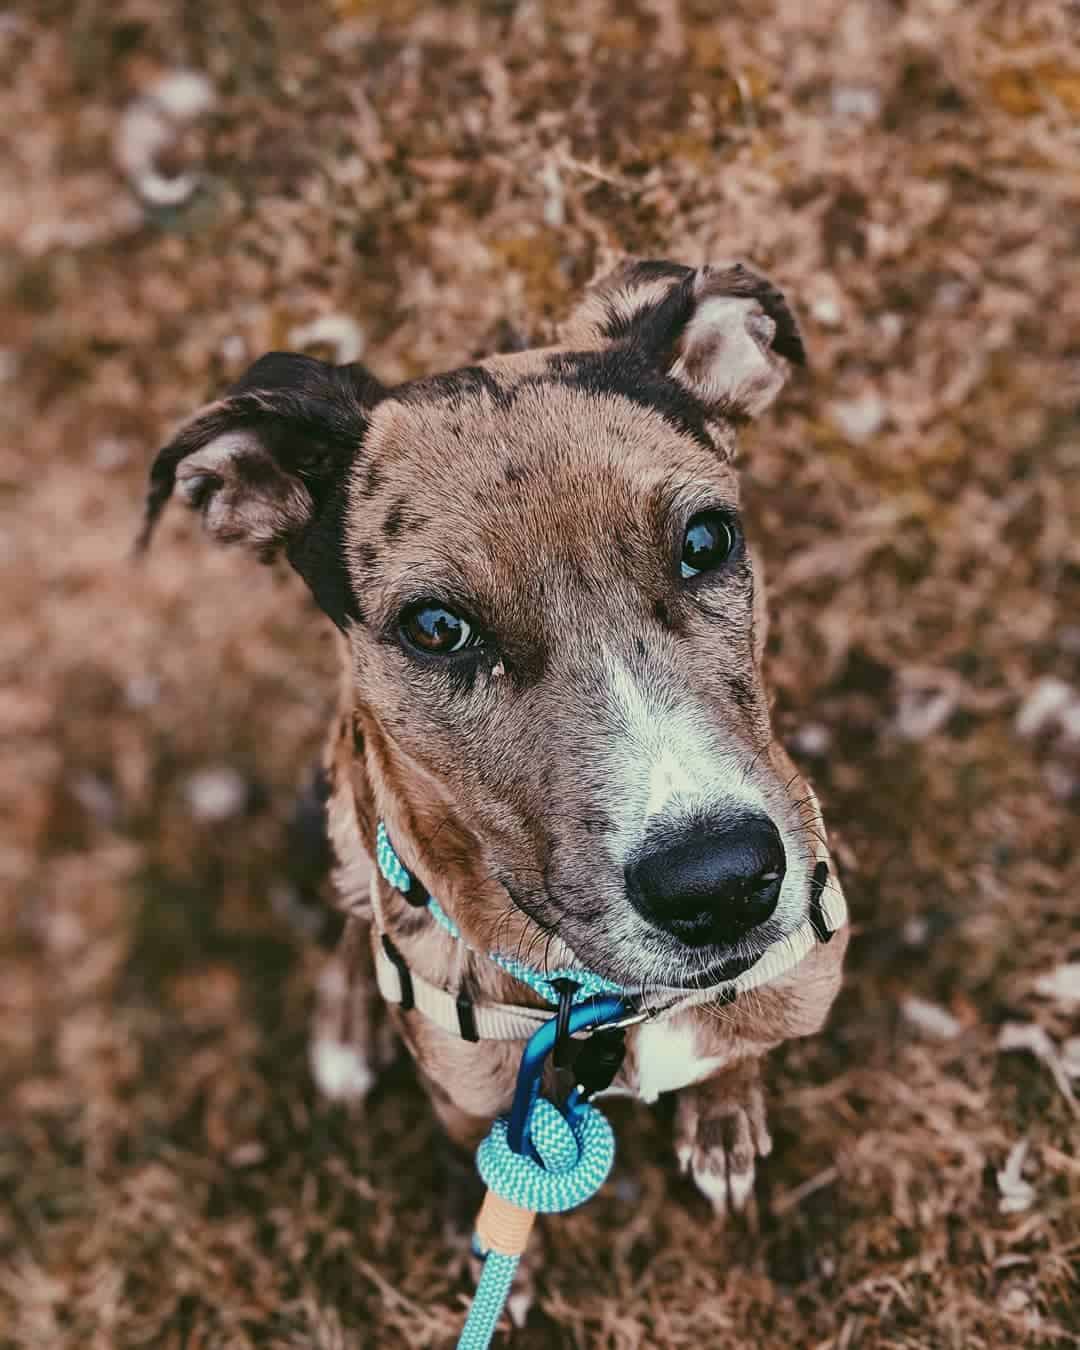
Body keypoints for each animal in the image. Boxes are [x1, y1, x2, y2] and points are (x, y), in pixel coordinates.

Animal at [139, 255, 847, 1236]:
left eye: (708, 539)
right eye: (437, 628)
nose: (721, 884)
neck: (603, 1011)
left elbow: (737, 1052)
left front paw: (724, 1114)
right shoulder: (468, 1099)